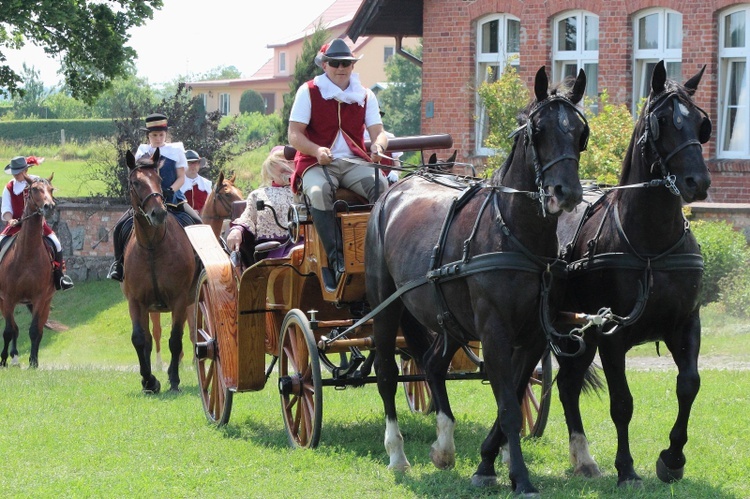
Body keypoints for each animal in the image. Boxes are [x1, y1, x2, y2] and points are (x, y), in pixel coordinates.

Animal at [0, 175, 58, 368]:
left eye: (51, 189)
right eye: (34, 190)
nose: (49, 207)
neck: (27, 254)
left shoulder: (39, 298)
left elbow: (34, 331)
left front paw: (33, 362)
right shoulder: (8, 298)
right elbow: (8, 331)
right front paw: (3, 360)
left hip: (45, 302)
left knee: (38, 330)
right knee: (14, 329)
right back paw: (13, 357)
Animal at [121, 150, 197, 392]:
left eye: (159, 179)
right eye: (135, 182)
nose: (158, 213)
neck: (152, 245)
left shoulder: (180, 300)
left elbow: (175, 339)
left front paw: (173, 379)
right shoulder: (136, 301)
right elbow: (139, 339)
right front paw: (149, 380)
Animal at [368, 67, 592, 496]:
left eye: (580, 132)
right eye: (537, 132)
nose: (567, 192)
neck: (514, 233)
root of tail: (395, 189)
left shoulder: (534, 335)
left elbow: (516, 396)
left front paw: (490, 461)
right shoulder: (494, 331)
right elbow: (507, 406)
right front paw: (518, 475)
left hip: (449, 319)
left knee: (433, 365)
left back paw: (444, 445)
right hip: (386, 307)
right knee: (387, 375)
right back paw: (397, 454)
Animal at [556, 61, 712, 488]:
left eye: (701, 124)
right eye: (663, 121)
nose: (698, 182)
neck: (652, 245)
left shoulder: (685, 324)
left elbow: (688, 385)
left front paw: (672, 459)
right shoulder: (612, 335)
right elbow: (622, 403)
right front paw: (626, 468)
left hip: (580, 334)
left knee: (567, 384)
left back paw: (582, 459)